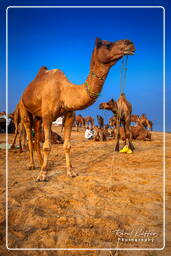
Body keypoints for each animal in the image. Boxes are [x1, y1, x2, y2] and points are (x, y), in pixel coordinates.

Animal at [17, 38, 135, 182]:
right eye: (108, 44)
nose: (130, 43)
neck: (64, 92)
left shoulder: (69, 116)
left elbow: (67, 145)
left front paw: (70, 172)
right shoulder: (47, 116)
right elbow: (47, 146)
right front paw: (42, 175)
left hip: (38, 117)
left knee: (36, 137)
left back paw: (42, 164)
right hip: (24, 108)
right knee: (29, 134)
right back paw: (32, 165)